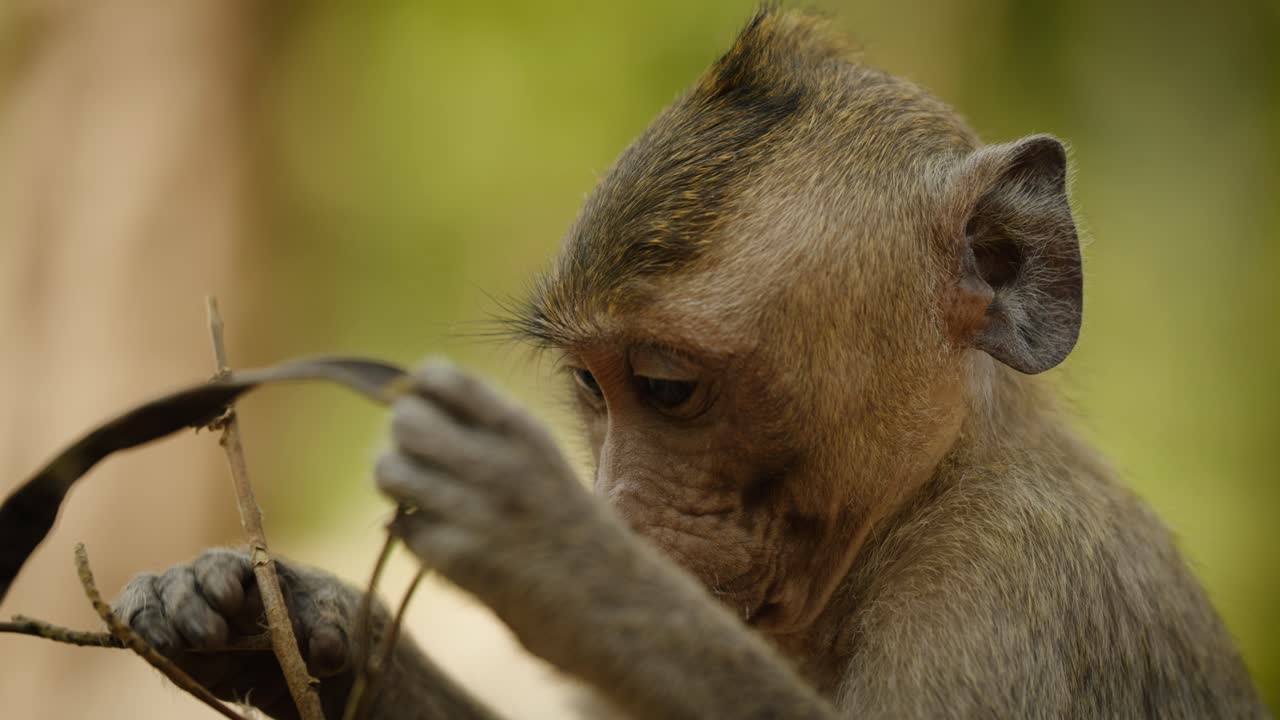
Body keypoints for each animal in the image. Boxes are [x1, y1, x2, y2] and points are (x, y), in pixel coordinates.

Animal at [112, 8, 1266, 720]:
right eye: (591, 385)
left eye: (667, 389)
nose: (616, 510)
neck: (923, 492)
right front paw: (267, 616)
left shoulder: (1002, 583)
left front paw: (554, 552)